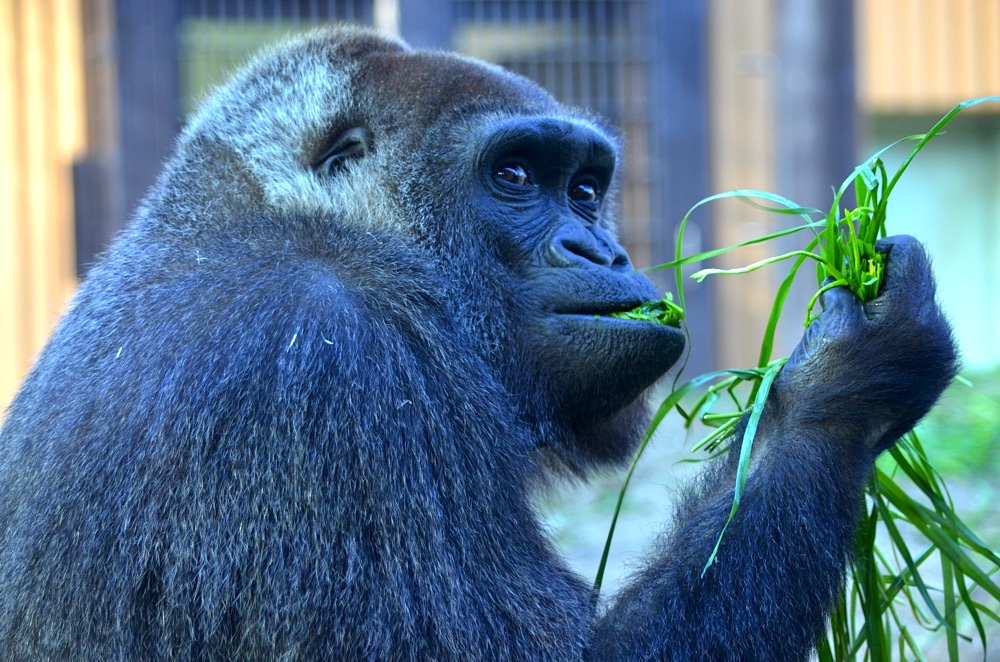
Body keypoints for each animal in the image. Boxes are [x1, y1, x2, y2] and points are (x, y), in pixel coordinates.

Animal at [0, 24, 952, 660]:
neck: (296, 218)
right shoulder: (329, 365)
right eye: (515, 175)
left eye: (585, 188)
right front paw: (845, 386)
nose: (601, 250)